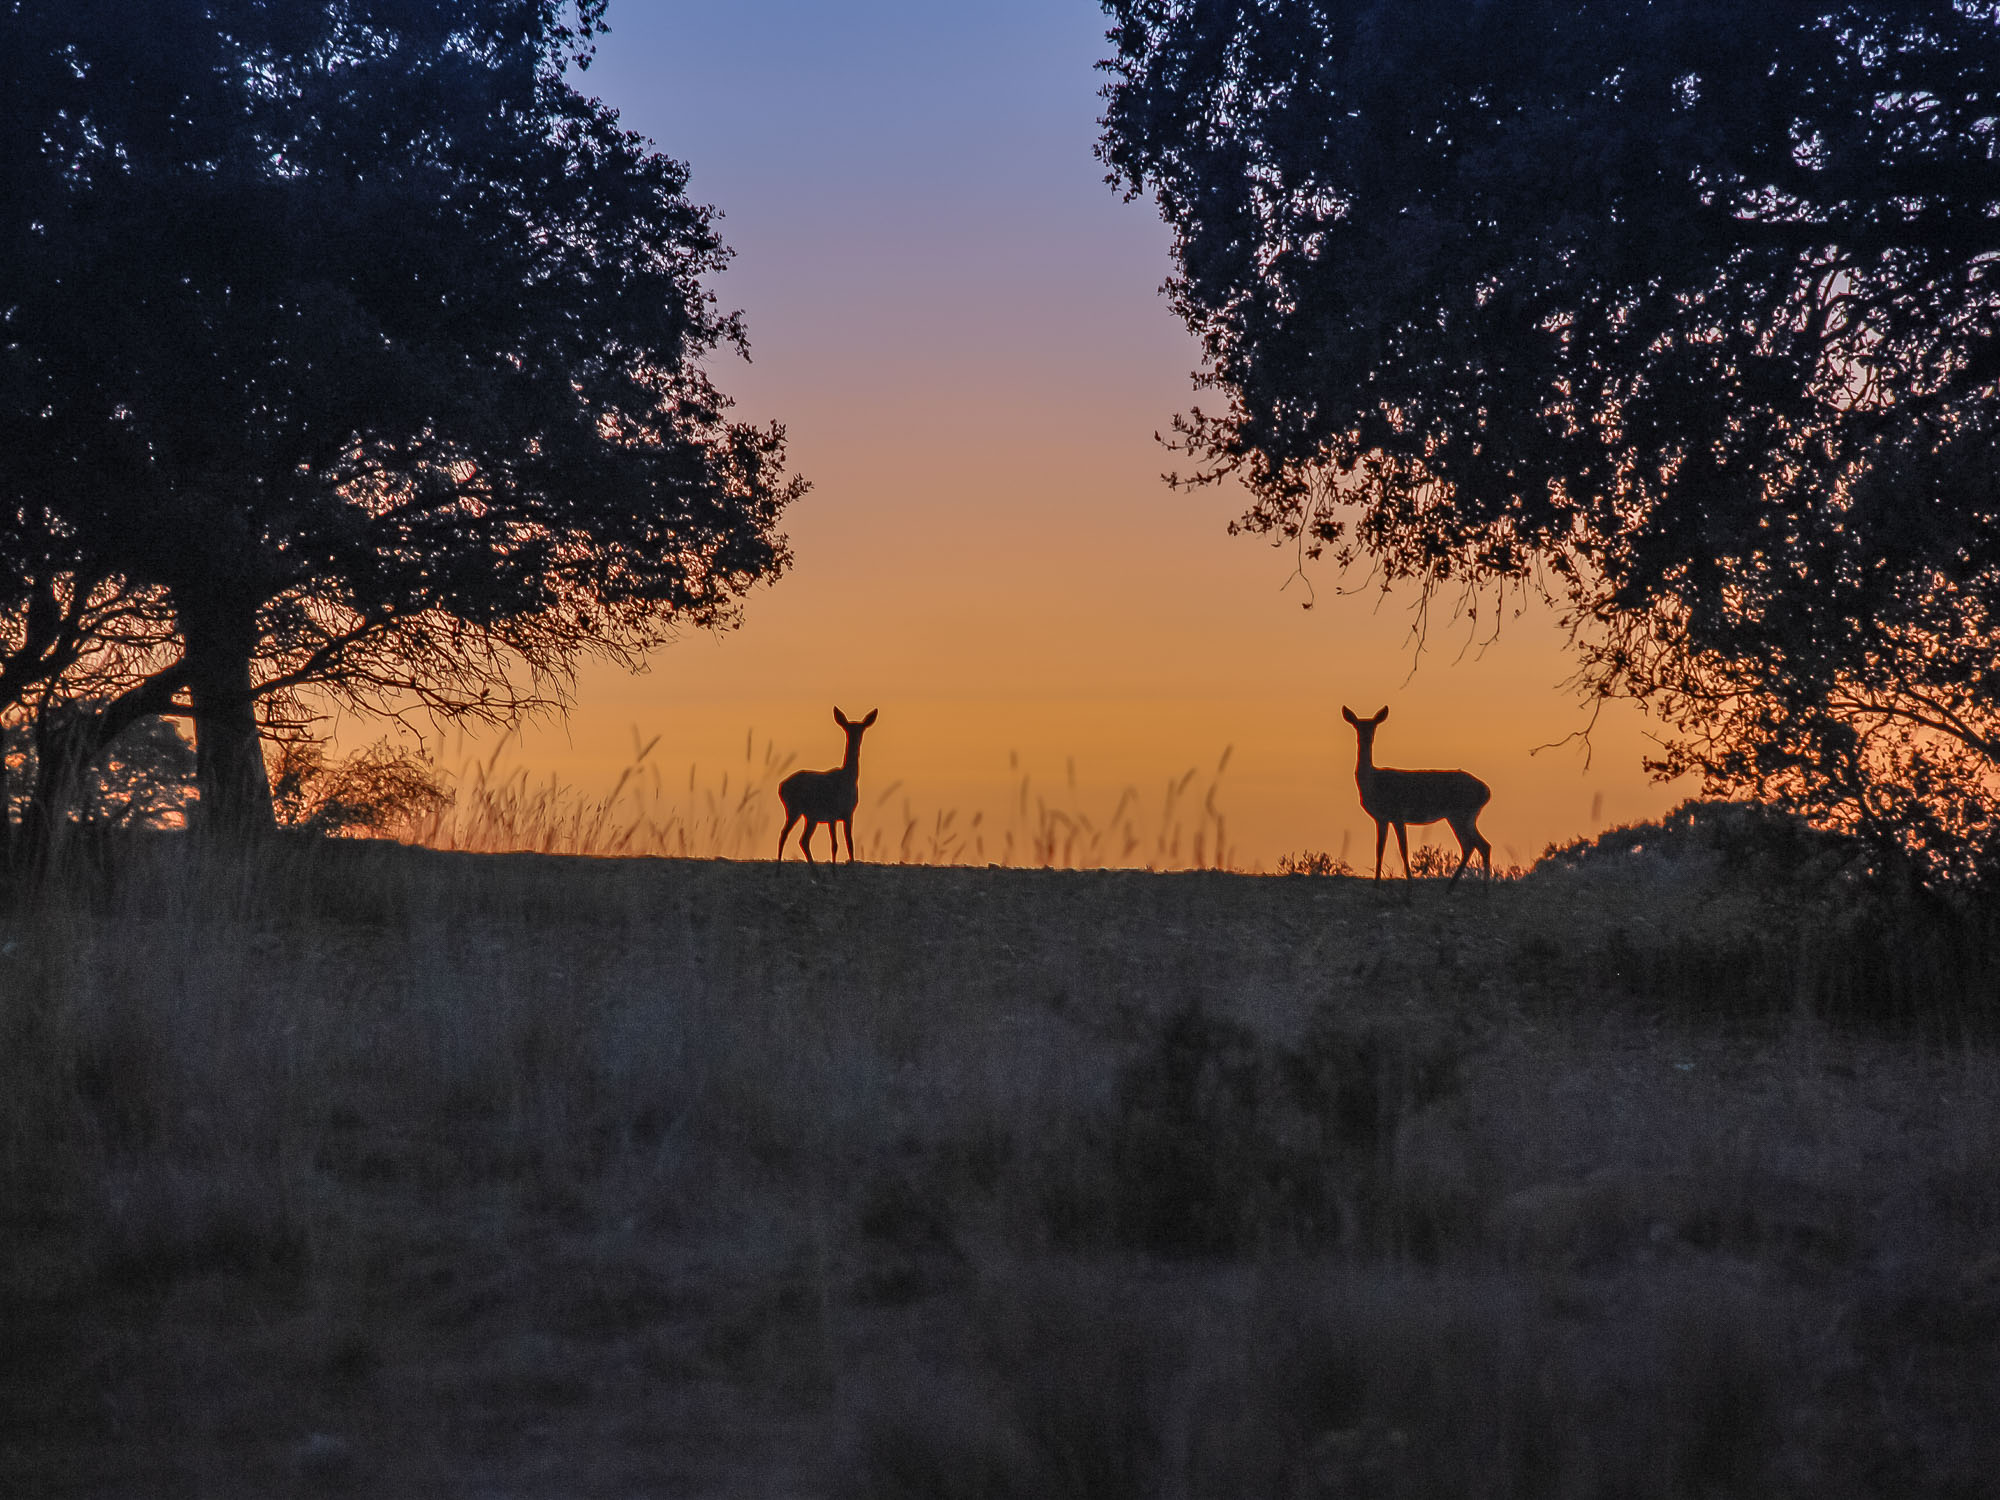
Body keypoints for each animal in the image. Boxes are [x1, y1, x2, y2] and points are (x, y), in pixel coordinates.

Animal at [776, 707, 878, 863]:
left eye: (862, 729)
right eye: (848, 729)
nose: (857, 743)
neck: (848, 779)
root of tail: (781, 787)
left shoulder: (848, 813)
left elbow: (849, 843)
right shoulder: (833, 814)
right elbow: (836, 844)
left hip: (810, 817)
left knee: (803, 840)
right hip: (794, 809)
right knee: (784, 834)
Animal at [1342, 705, 1492, 885]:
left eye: (1374, 727)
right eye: (1357, 726)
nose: (1367, 738)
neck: (1372, 783)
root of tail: (1487, 791)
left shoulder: (1398, 814)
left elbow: (1403, 848)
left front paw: (1409, 881)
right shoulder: (1381, 818)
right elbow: (1379, 849)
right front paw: (1376, 883)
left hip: (1460, 813)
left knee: (1473, 845)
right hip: (1464, 816)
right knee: (1480, 845)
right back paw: (1467, 887)